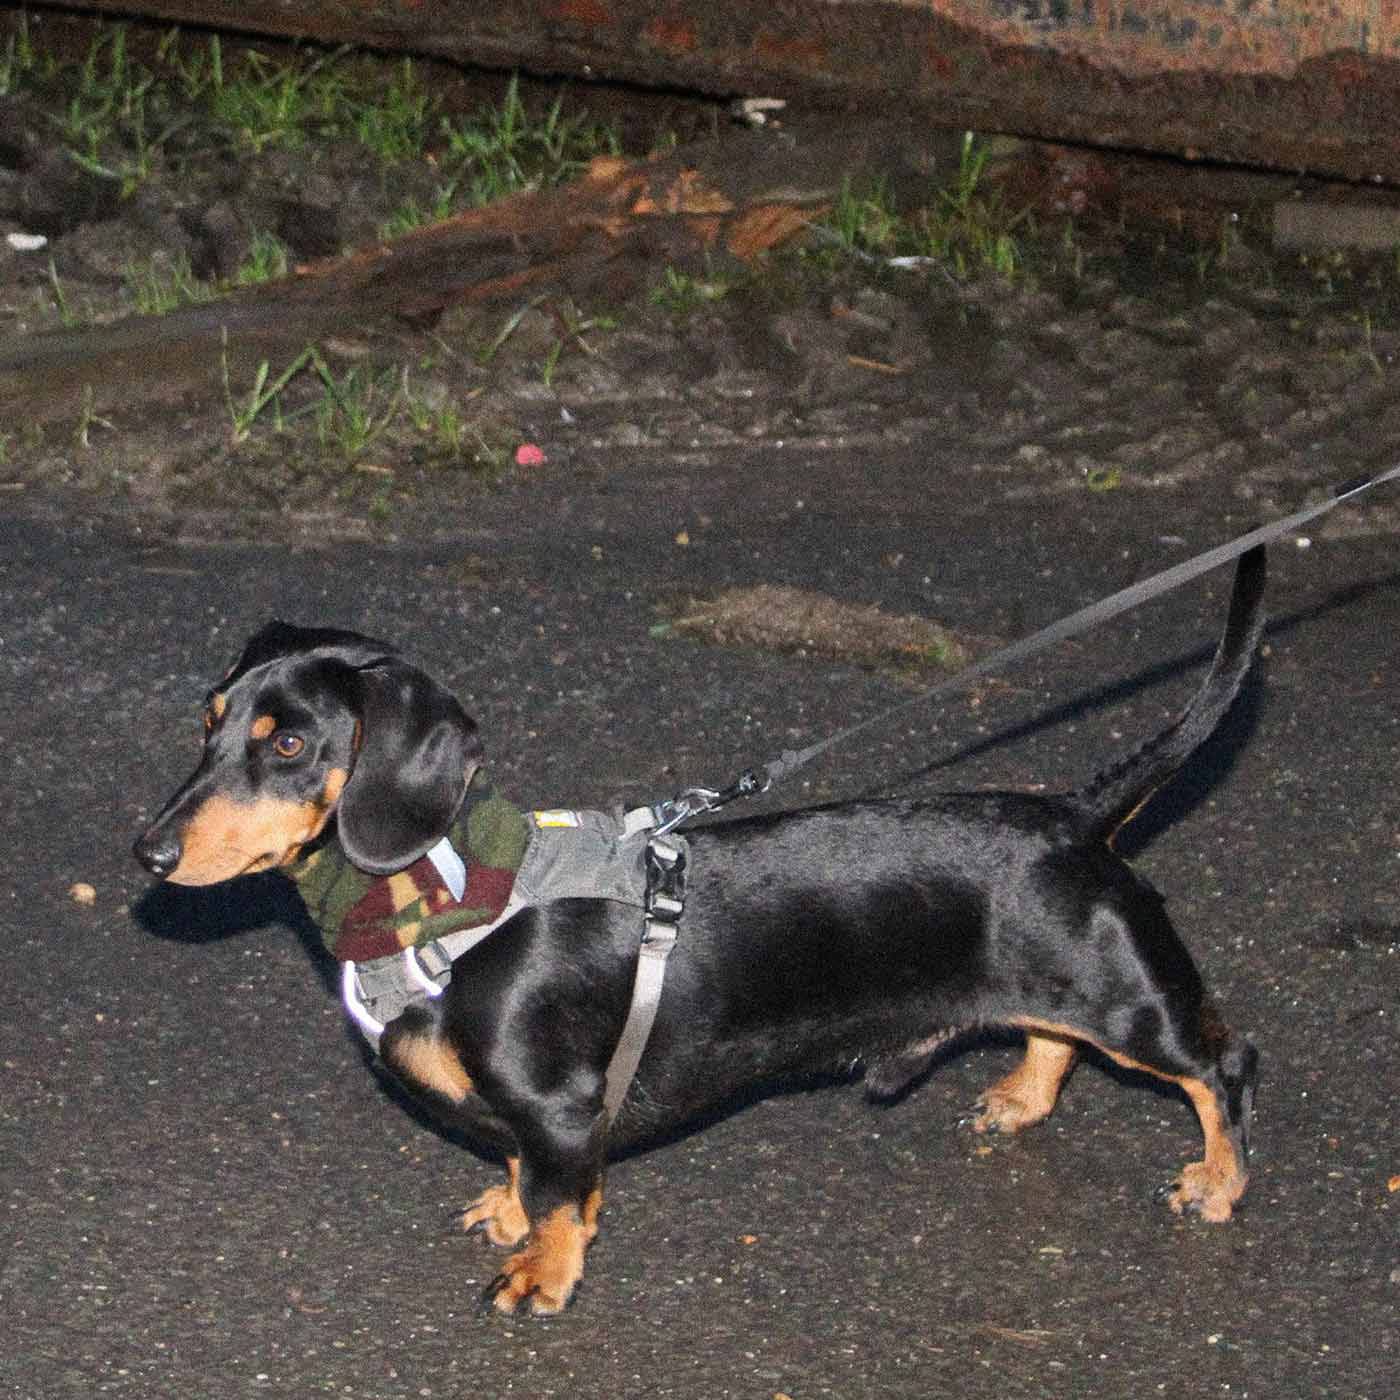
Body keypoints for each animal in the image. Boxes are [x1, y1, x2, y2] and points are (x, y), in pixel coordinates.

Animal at [133, 543, 1271, 1310]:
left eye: (288, 745)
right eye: (210, 723)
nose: (147, 854)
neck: (457, 894)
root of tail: (1075, 815)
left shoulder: (556, 1105)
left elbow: (560, 1192)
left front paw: (542, 1272)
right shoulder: (531, 1114)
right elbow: (524, 1173)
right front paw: (508, 1211)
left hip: (1132, 1005)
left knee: (1219, 1067)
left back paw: (1218, 1183)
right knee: (1052, 1037)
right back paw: (1019, 1100)